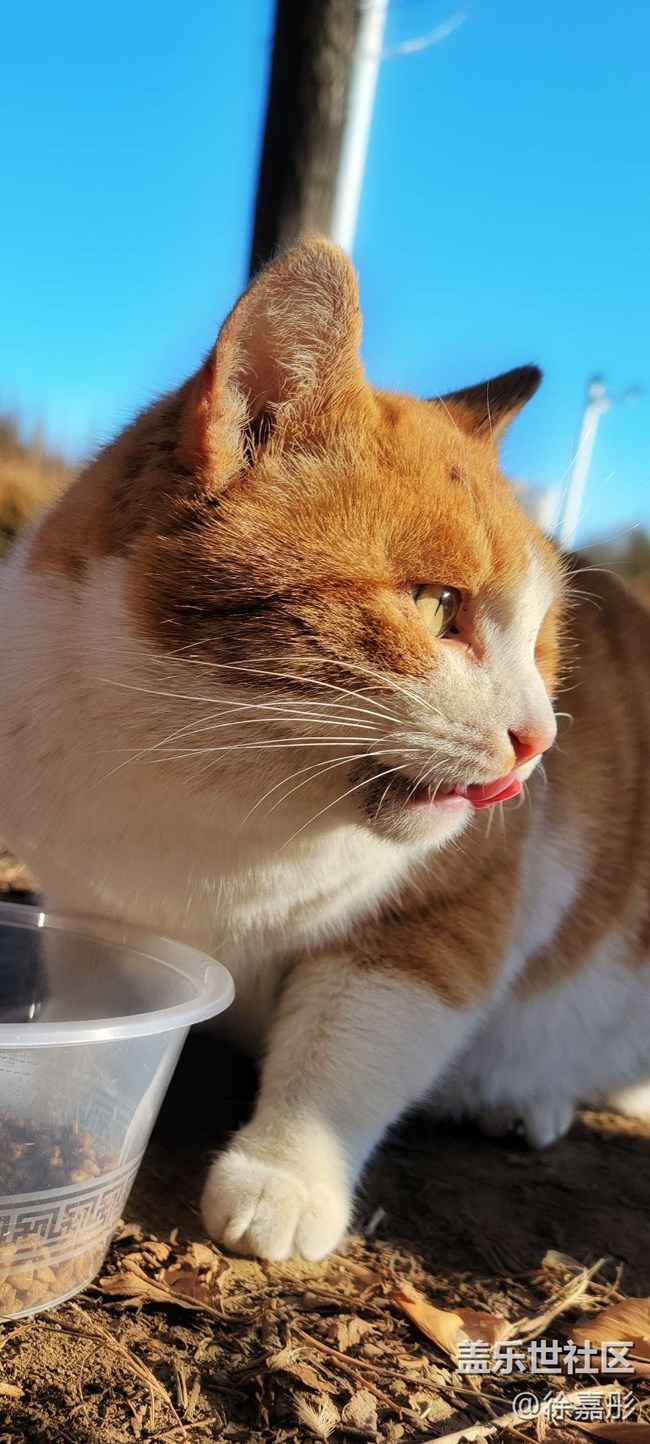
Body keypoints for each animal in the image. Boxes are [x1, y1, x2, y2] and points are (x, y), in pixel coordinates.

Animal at [0, 238, 648, 1261]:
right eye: (435, 604)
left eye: (547, 646)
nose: (538, 740)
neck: (207, 792)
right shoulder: (91, 912)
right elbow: (94, 1017)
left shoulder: (441, 920)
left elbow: (346, 1054)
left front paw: (285, 1179)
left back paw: (539, 1100)